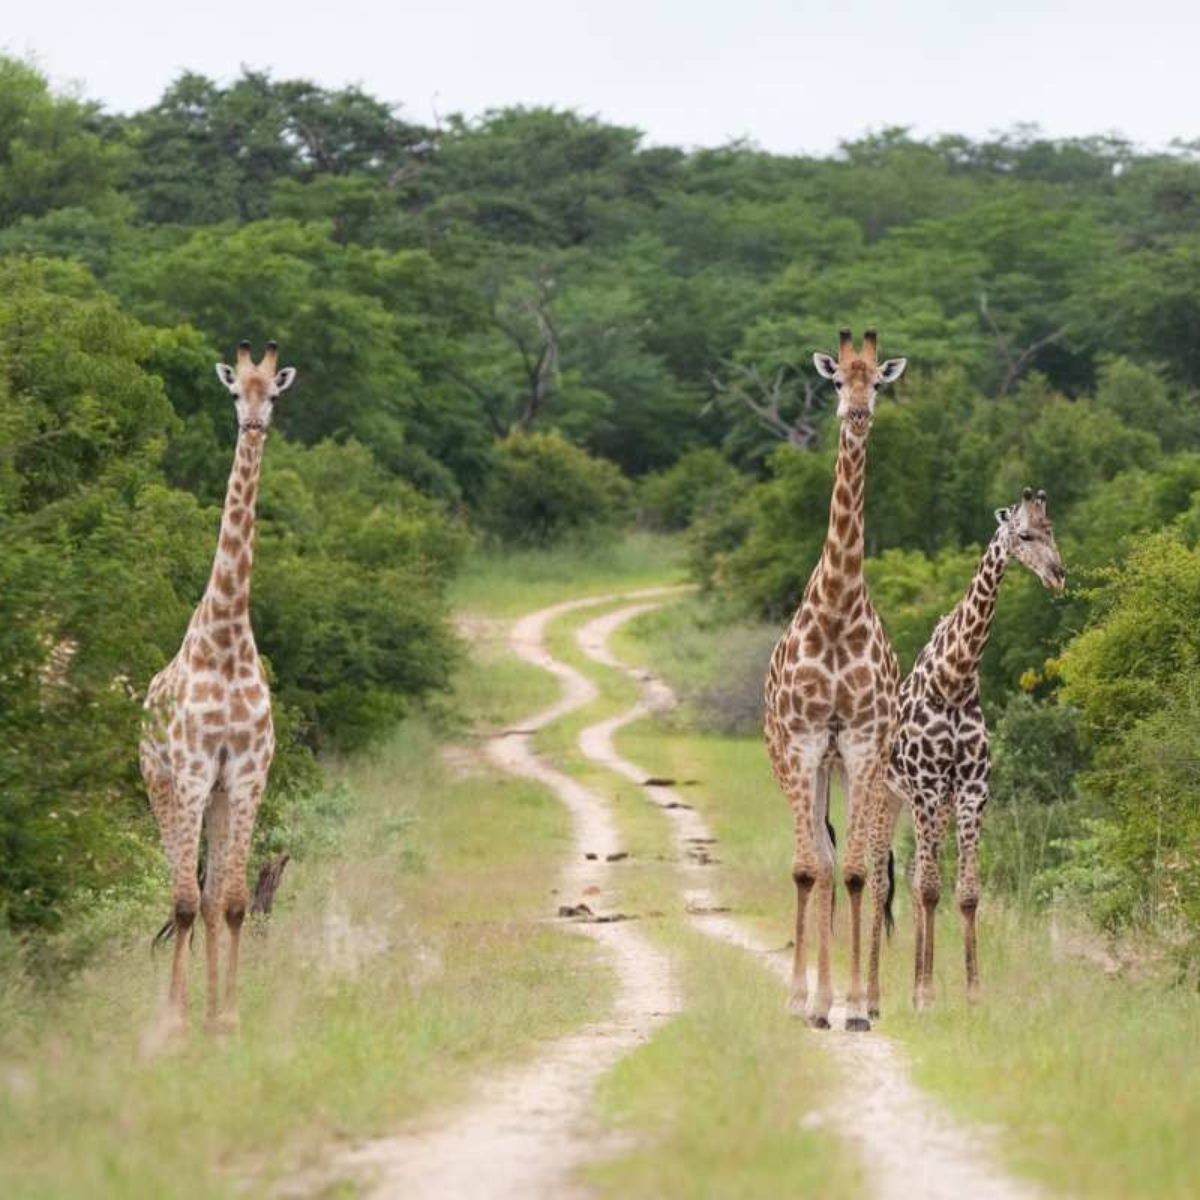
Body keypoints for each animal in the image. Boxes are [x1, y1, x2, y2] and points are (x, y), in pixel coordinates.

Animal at [866, 487, 1064, 1017]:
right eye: (1024, 535)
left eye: (1052, 530)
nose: (1059, 575)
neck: (953, 681)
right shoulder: (927, 789)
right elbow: (930, 888)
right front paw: (924, 993)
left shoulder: (972, 792)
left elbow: (966, 893)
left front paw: (972, 992)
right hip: (883, 798)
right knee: (879, 882)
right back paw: (870, 994)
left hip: (923, 805)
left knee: (912, 878)